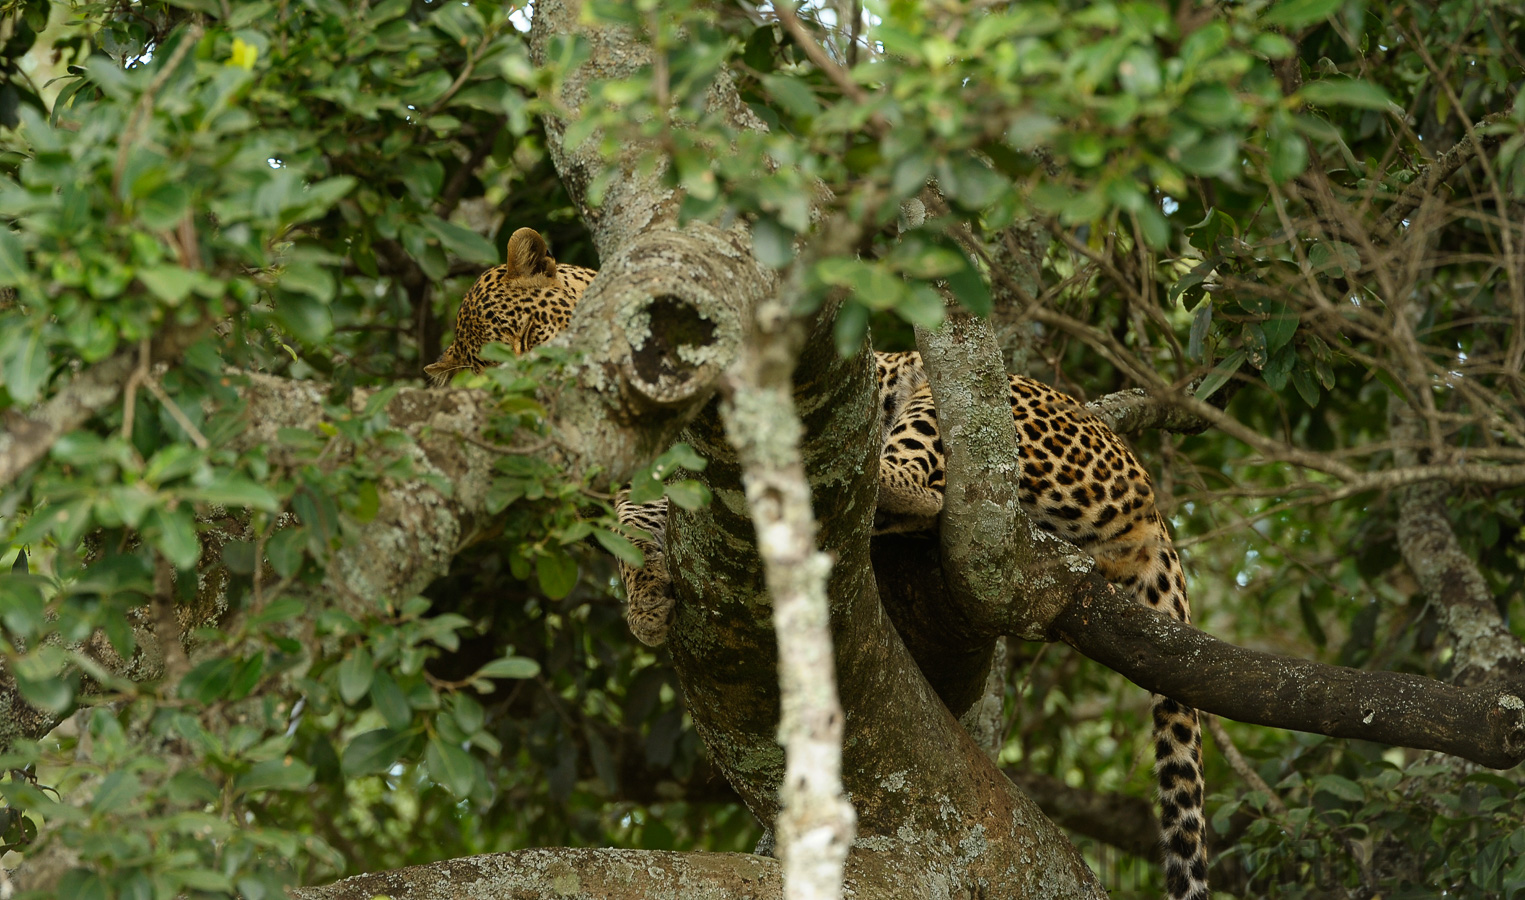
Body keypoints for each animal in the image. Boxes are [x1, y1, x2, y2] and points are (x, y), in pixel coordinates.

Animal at [436, 225, 1207, 900]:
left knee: (922, 478)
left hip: (966, 400)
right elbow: (636, 524)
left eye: (521, 341)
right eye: (486, 371)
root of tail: (1147, 501)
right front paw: (647, 600)